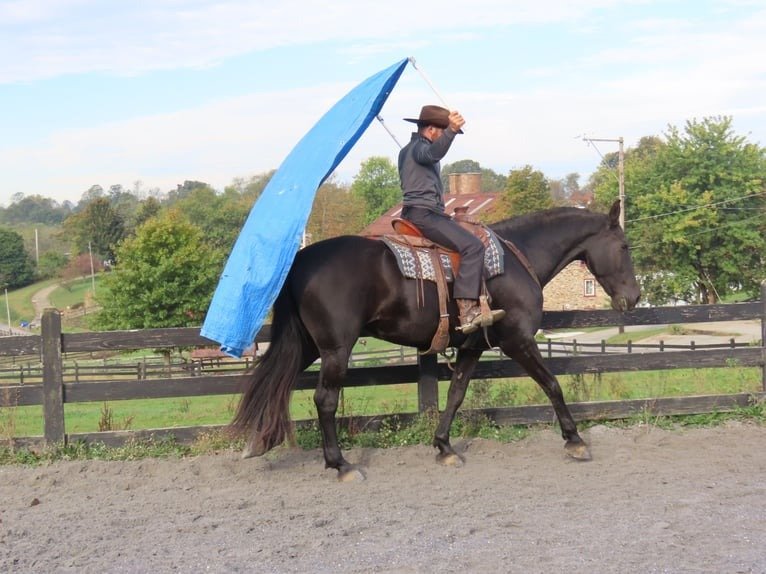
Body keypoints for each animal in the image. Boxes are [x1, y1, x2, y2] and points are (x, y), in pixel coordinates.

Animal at [231, 200, 640, 481]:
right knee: (324, 400)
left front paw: (443, 446)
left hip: (307, 345)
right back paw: (340, 464)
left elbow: (456, 393)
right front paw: (575, 440)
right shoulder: (518, 340)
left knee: (274, 384)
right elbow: (552, 384)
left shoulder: (473, 346)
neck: (513, 260)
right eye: (624, 246)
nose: (634, 298)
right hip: (335, 349)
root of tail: (300, 260)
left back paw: (259, 441)